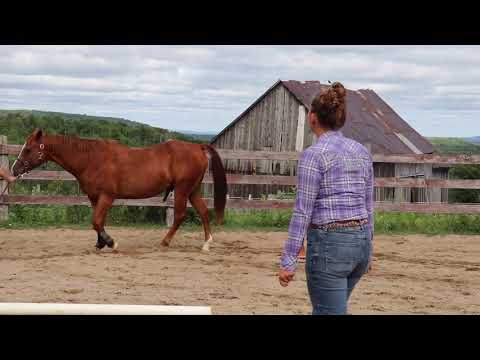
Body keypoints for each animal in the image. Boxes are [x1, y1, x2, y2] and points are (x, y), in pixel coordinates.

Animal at [11, 128, 228, 252]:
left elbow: (96, 221)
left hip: (183, 190)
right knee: (203, 212)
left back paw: (165, 242)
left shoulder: (107, 197)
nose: (14, 169)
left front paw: (111, 242)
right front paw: (100, 243)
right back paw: (206, 244)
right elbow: (98, 222)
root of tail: (197, 147)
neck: (91, 159)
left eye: (28, 149)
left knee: (180, 216)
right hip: (193, 190)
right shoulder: (95, 198)